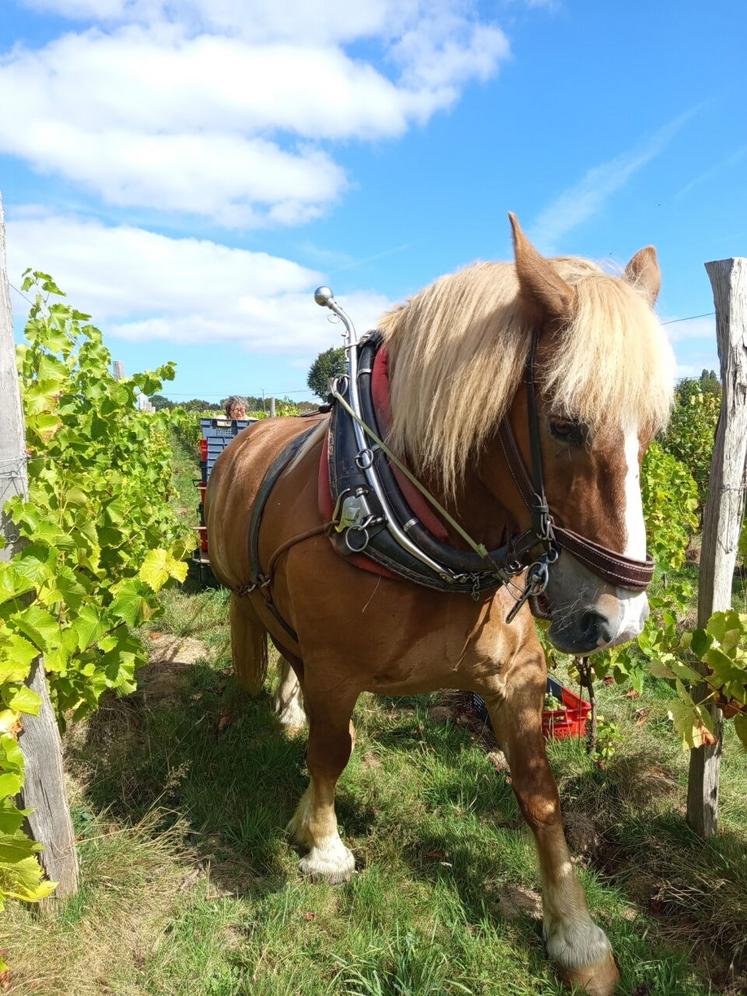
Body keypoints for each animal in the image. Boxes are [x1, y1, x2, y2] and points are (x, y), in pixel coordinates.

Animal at [206, 214, 674, 995]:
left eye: (653, 432)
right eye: (563, 424)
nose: (614, 619)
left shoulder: (514, 679)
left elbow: (541, 795)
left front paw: (575, 936)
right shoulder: (336, 667)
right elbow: (334, 748)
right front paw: (322, 844)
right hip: (263, 604)